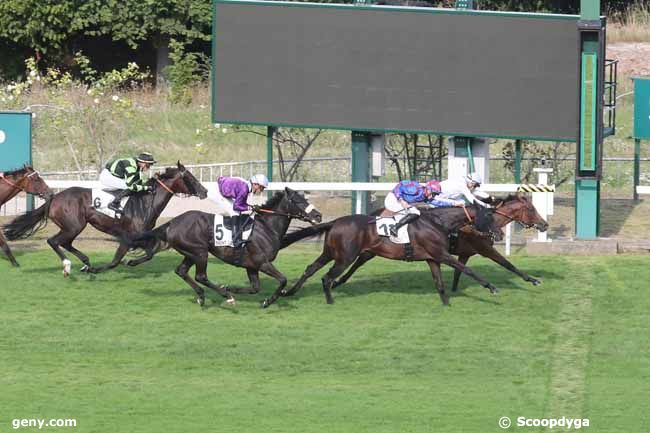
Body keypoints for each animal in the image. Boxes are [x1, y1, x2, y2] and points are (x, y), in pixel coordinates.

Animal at [1, 160, 205, 276]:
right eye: (191, 178)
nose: (205, 191)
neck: (146, 202)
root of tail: (55, 197)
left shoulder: (140, 237)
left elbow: (150, 253)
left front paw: (131, 261)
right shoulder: (127, 237)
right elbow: (117, 261)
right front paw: (103, 268)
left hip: (74, 227)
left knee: (65, 243)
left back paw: (85, 263)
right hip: (73, 226)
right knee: (54, 241)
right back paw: (69, 265)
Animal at [268, 205, 502, 308]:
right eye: (490, 218)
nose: (499, 234)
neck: (437, 223)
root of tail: (336, 221)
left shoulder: (432, 258)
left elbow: (439, 284)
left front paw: (446, 304)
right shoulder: (442, 254)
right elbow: (468, 269)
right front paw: (492, 288)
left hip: (330, 253)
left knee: (310, 269)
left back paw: (289, 292)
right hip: (345, 257)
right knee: (327, 277)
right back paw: (330, 300)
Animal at [330, 194, 548, 292]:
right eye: (531, 209)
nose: (545, 224)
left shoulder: (465, 253)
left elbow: (460, 270)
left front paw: (453, 289)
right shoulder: (484, 248)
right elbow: (507, 264)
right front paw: (532, 279)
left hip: (376, 248)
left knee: (359, 260)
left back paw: (338, 281)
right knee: (358, 261)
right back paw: (337, 281)